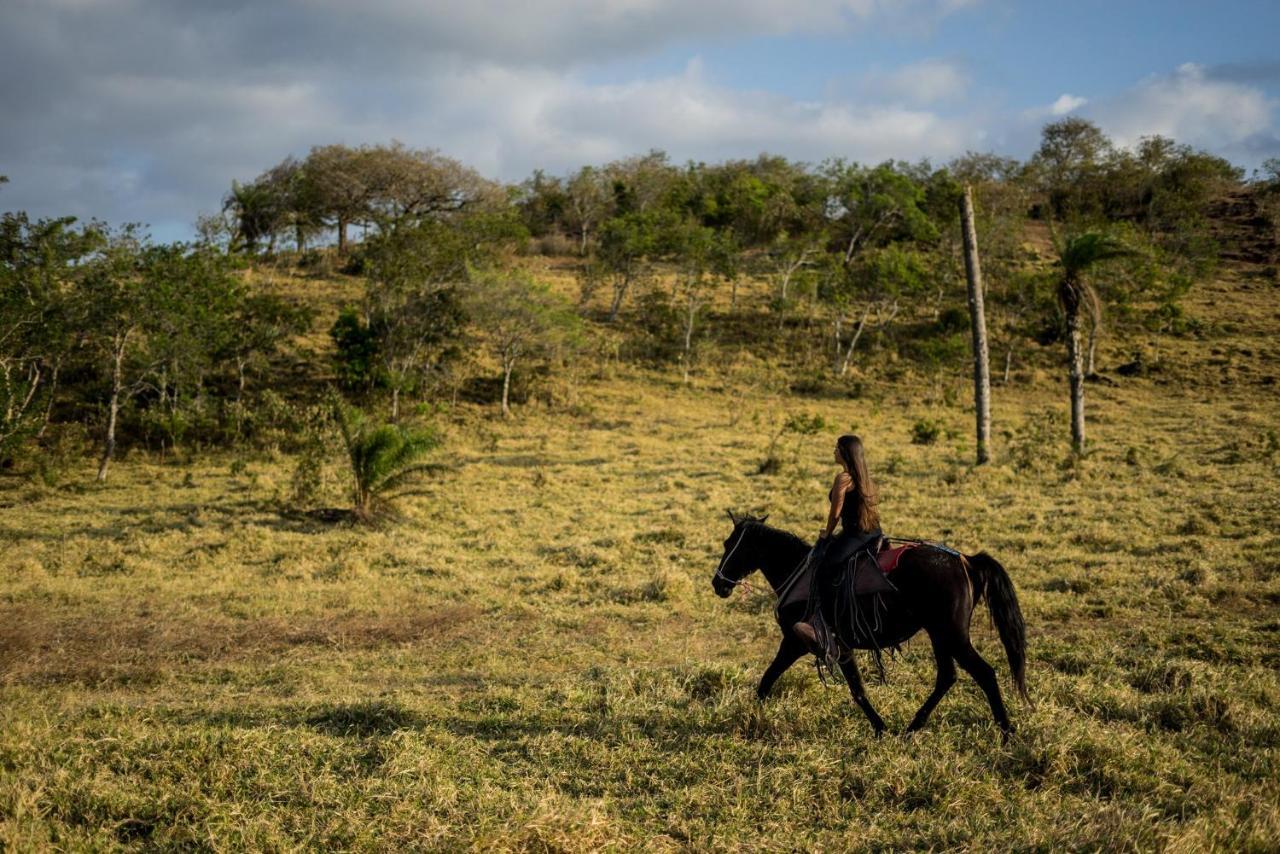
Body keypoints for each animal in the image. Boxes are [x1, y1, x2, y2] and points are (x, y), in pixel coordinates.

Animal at [711, 512, 1029, 737]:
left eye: (730, 545)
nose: (718, 583)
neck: (799, 572)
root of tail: (966, 561)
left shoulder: (806, 643)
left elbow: (851, 690)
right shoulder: (809, 645)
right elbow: (770, 680)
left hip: (952, 635)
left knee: (984, 673)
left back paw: (1007, 734)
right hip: (940, 635)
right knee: (947, 677)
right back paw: (912, 728)